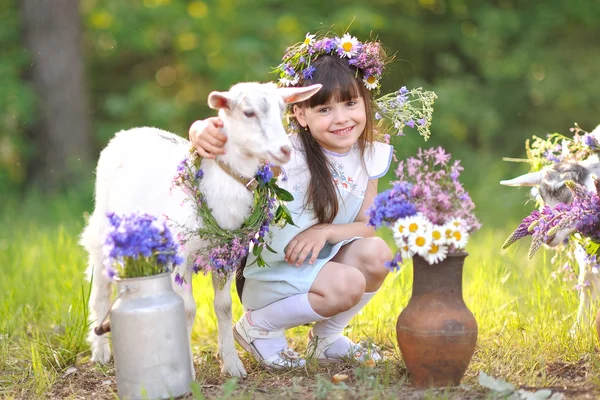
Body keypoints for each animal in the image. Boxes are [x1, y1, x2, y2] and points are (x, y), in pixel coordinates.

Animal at [81, 82, 324, 378]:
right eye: (248, 112)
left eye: (282, 110)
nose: (285, 150)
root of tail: (129, 131)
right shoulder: (182, 255)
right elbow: (186, 310)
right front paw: (189, 371)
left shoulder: (226, 254)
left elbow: (224, 307)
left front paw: (232, 364)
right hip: (102, 233)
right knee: (100, 289)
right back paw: (101, 351)